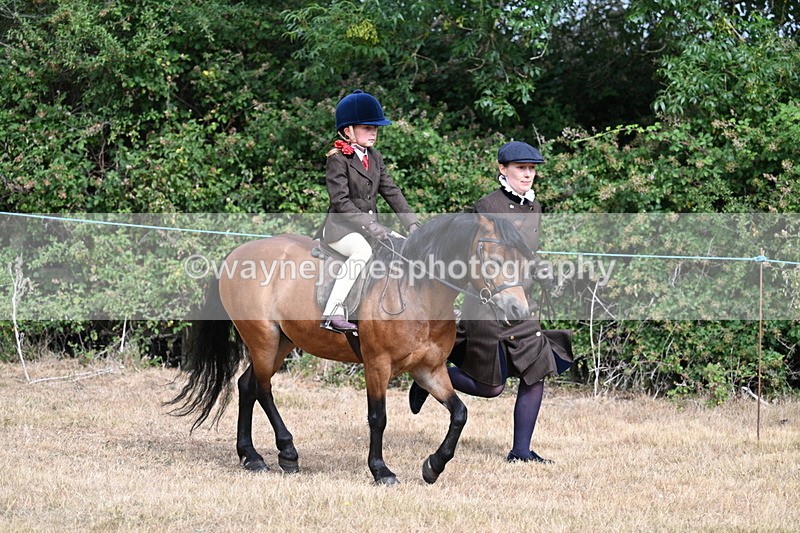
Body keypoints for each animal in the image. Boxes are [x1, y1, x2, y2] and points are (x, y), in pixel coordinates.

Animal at [168, 212, 534, 485]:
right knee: (262, 388)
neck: (419, 293)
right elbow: (378, 417)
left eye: (522, 262)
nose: (518, 311)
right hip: (263, 338)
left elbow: (459, 413)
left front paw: (433, 466)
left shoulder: (429, 369)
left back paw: (252, 457)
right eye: (493, 261)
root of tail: (237, 253)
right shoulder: (377, 364)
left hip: (282, 342)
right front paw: (381, 471)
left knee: (248, 385)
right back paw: (287, 454)